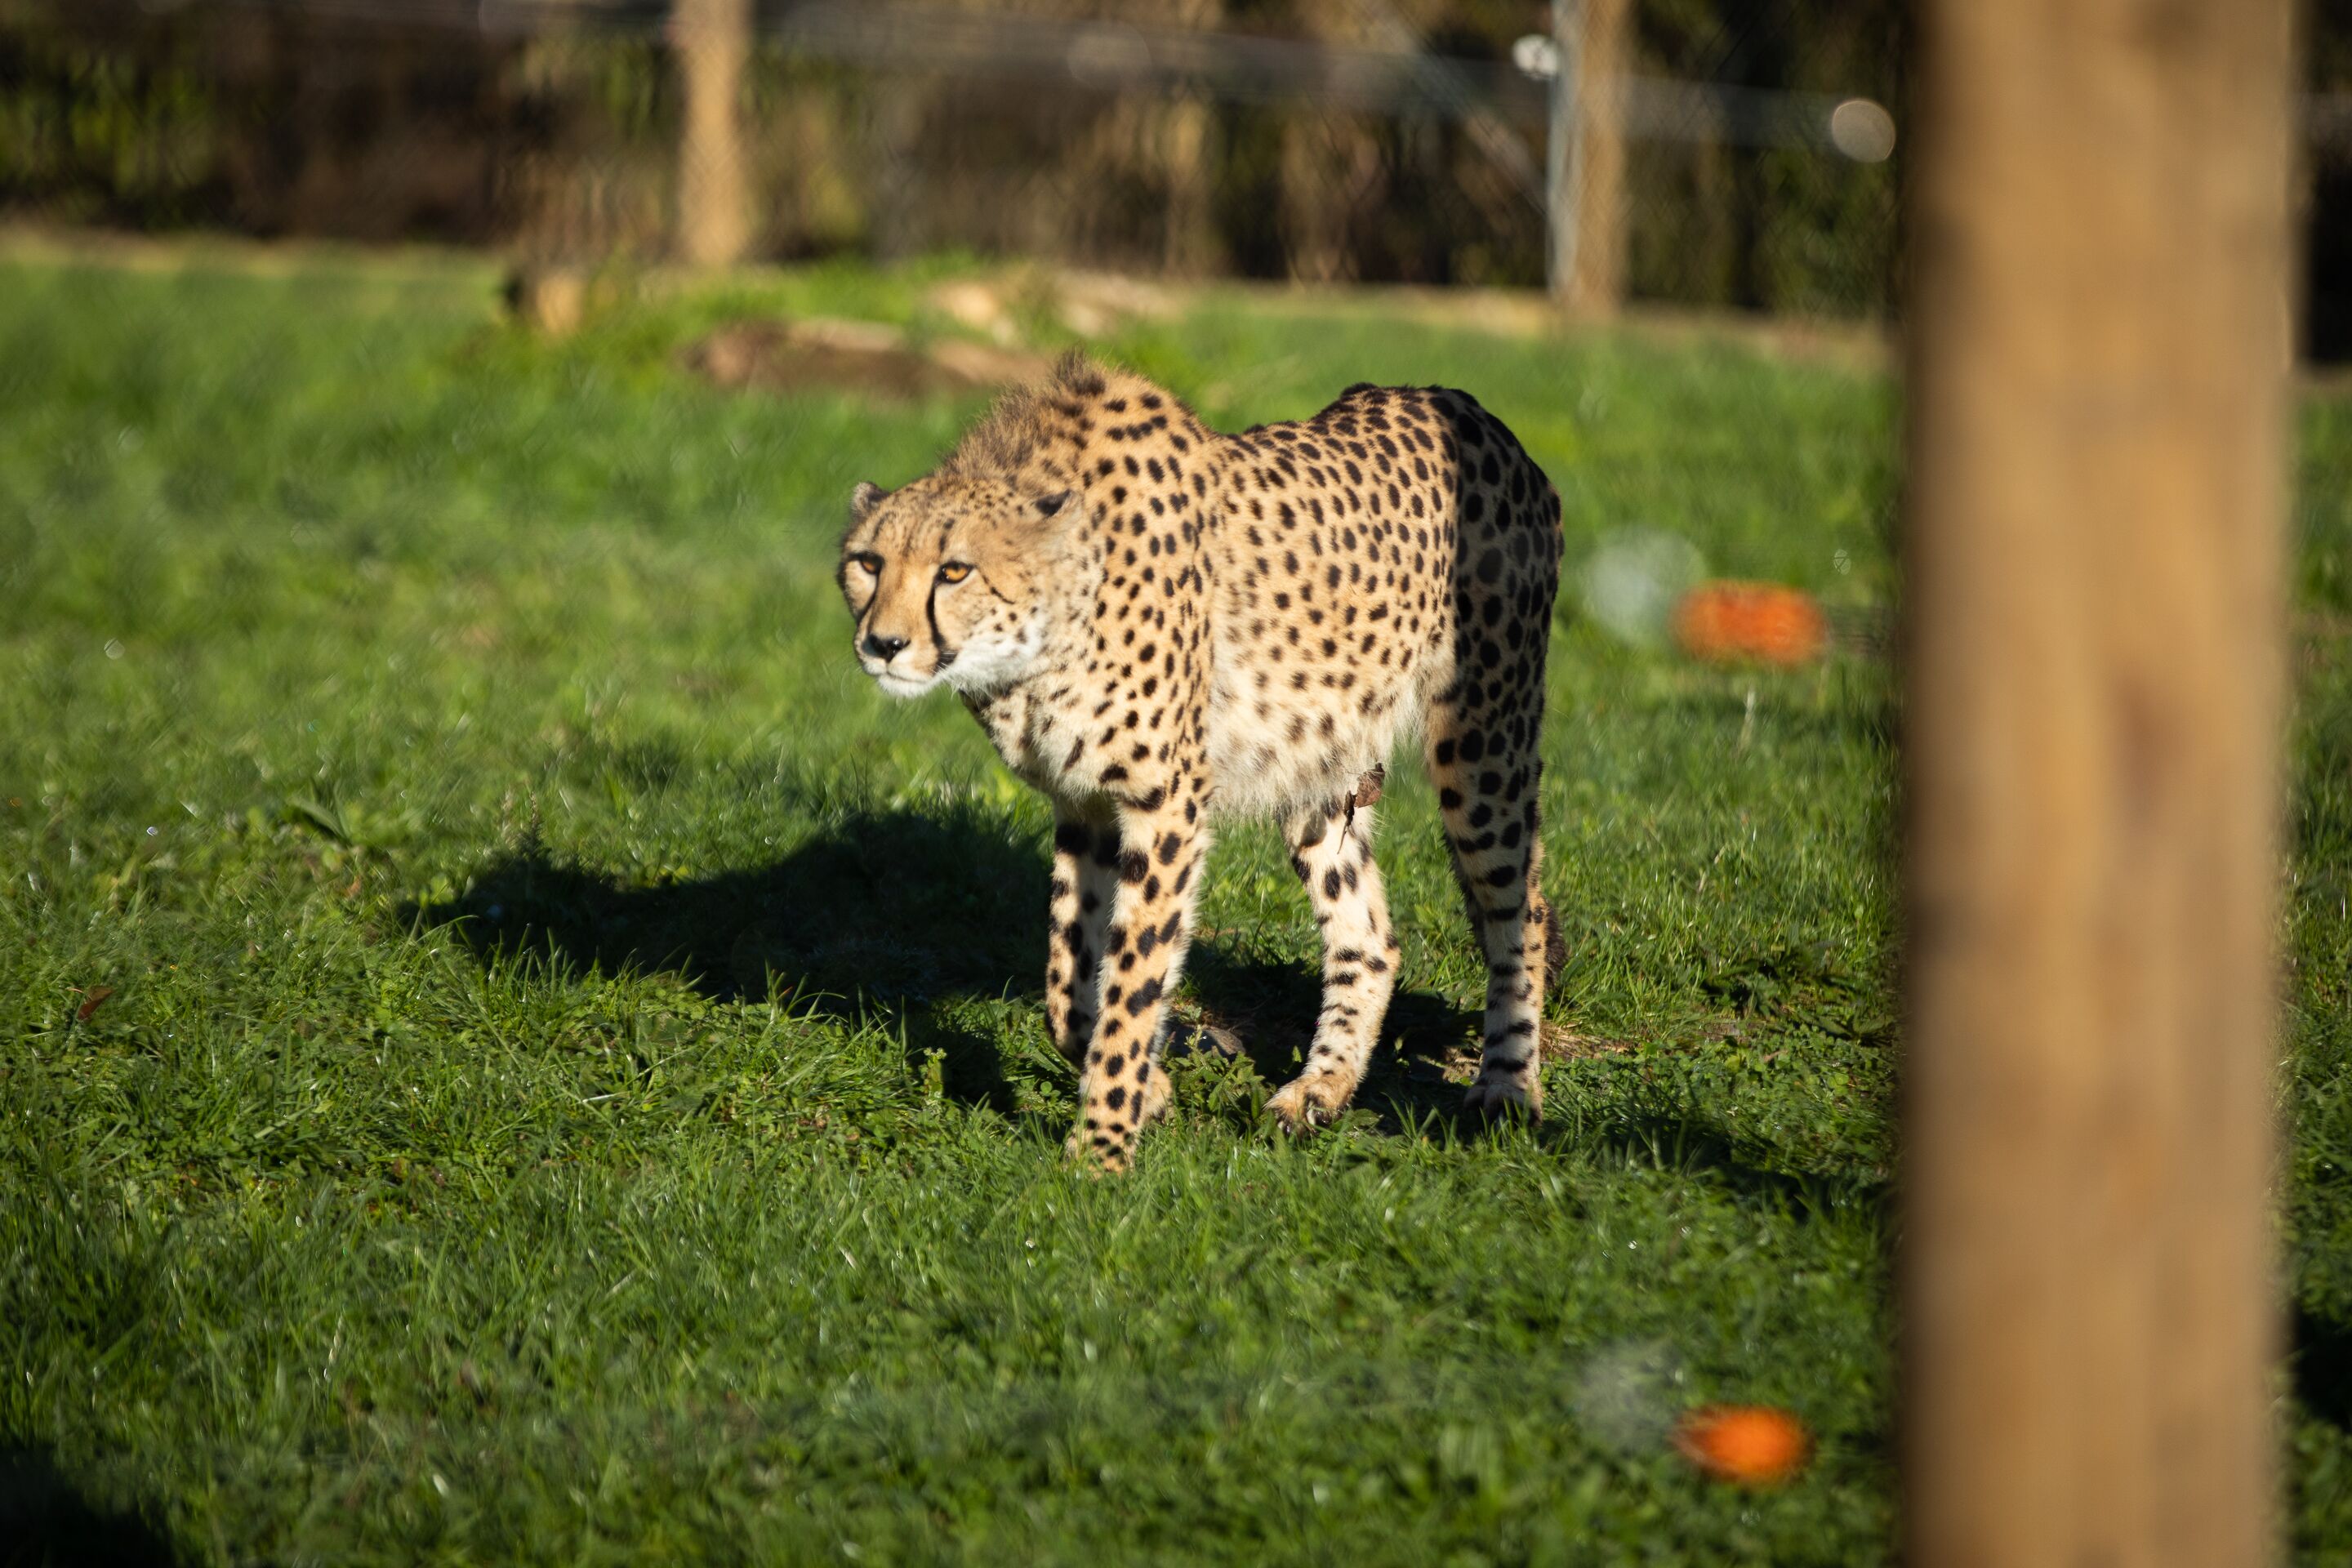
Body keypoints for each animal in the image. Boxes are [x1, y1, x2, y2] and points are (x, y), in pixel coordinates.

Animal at [842, 352, 1561, 1165]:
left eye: (955, 571)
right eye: (867, 562)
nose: (883, 643)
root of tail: (1463, 406)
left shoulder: (1166, 803)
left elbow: (1133, 976)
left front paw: (1101, 1151)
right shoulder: (1085, 803)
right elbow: (1068, 982)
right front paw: (1147, 1090)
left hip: (1485, 742)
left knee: (1521, 910)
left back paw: (1507, 1088)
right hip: (1320, 768)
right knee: (1370, 937)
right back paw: (1320, 1090)